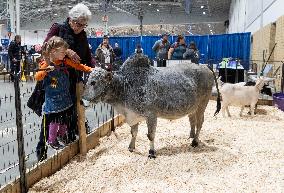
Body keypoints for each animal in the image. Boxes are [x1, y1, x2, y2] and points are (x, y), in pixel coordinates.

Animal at [83, 54, 221, 158]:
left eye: (93, 82)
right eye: (87, 80)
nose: (82, 100)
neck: (126, 86)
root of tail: (204, 66)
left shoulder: (151, 115)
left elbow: (150, 135)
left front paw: (151, 152)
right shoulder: (133, 115)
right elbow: (133, 132)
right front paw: (131, 147)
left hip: (202, 104)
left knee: (200, 123)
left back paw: (195, 141)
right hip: (192, 107)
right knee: (192, 121)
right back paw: (191, 135)